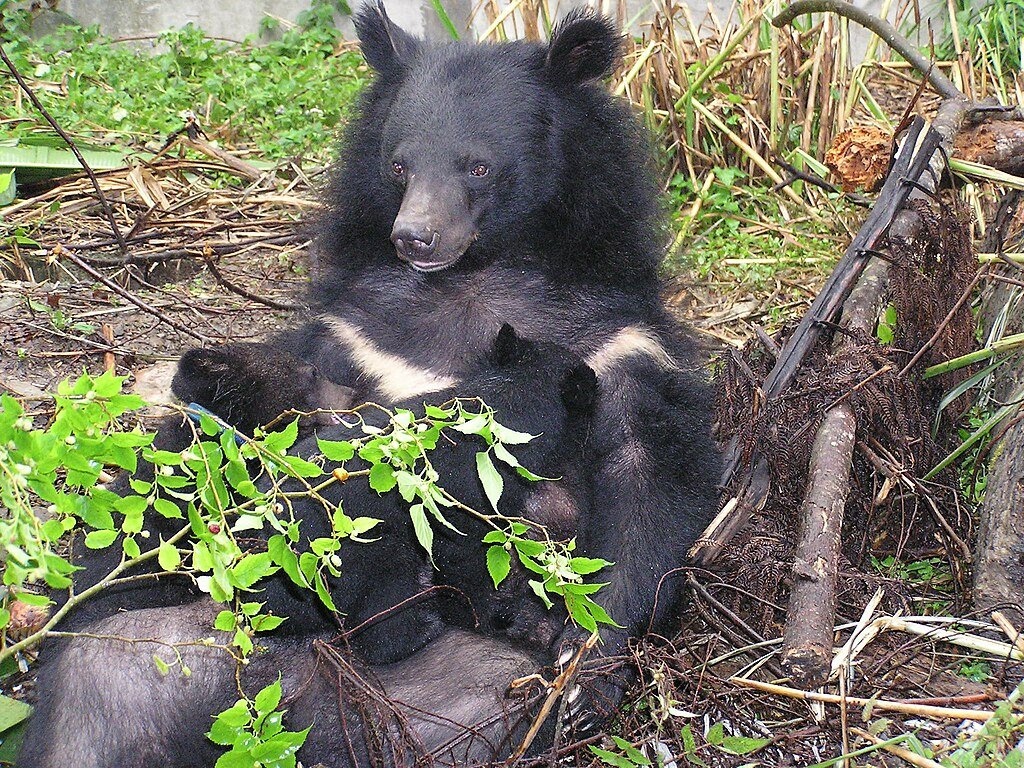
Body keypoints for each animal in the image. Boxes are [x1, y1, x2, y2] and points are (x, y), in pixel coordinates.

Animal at [176, 0, 720, 720]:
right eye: (399, 166)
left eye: (478, 167)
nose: (415, 238)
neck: (475, 275)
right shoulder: (362, 336)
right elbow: (308, 406)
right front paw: (209, 374)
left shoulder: (621, 344)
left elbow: (647, 484)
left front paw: (584, 668)